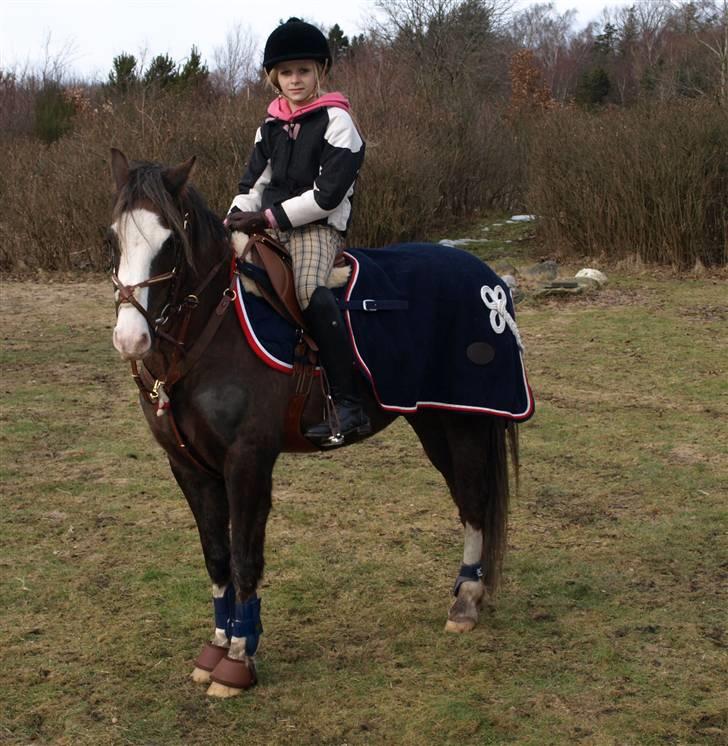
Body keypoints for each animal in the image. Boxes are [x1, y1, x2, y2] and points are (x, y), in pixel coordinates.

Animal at [108, 149, 522, 698]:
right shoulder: (190, 468)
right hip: (433, 421)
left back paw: (467, 602)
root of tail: (485, 277)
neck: (212, 335)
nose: (130, 339)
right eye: (114, 237)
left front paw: (237, 662)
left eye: (169, 241)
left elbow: (244, 558)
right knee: (465, 498)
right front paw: (216, 649)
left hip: (465, 423)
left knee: (474, 500)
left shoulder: (248, 463)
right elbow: (216, 557)